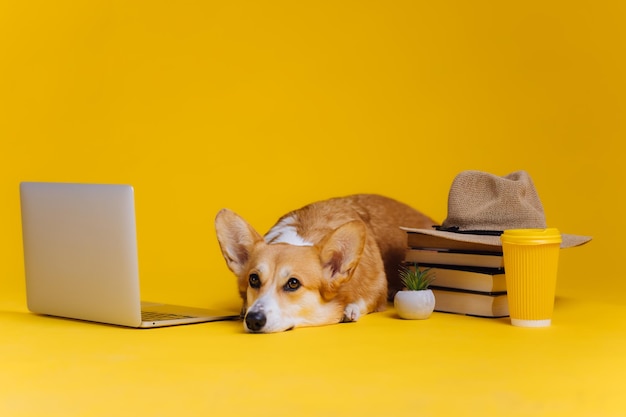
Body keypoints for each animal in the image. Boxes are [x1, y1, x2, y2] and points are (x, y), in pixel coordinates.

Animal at [214, 193, 434, 334]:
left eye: (293, 283)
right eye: (253, 279)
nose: (253, 319)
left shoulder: (377, 289)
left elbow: (366, 300)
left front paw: (349, 310)